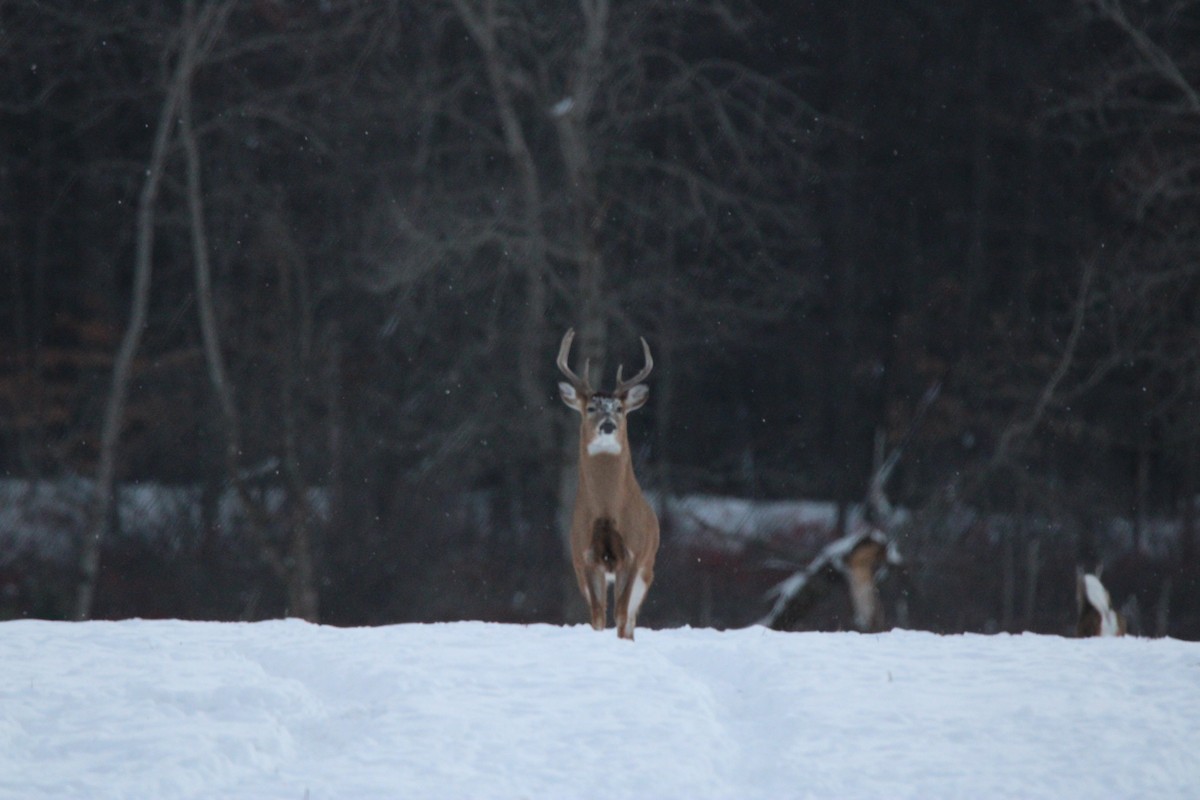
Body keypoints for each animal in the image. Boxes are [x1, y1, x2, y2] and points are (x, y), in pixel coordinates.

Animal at [557, 328, 659, 640]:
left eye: (620, 408)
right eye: (591, 407)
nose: (608, 425)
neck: (606, 511)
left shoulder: (633, 555)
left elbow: (621, 614)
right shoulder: (585, 558)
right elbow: (598, 616)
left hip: (648, 570)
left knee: (631, 620)